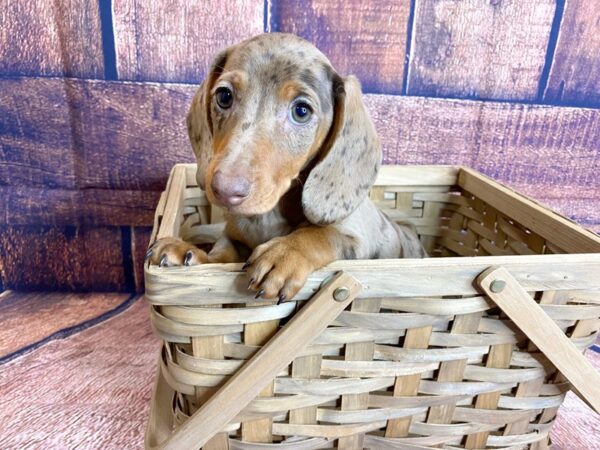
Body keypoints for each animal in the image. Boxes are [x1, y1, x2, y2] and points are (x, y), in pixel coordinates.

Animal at [147, 33, 424, 302]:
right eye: (224, 96)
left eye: (301, 111)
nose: (224, 191)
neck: (266, 217)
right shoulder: (233, 237)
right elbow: (222, 253)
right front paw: (189, 251)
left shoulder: (359, 233)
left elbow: (322, 233)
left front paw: (286, 253)